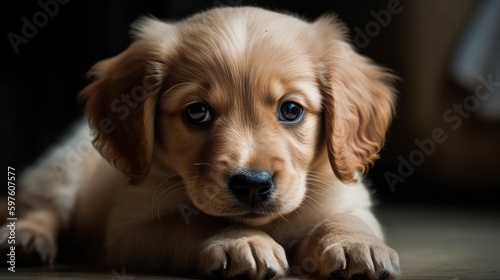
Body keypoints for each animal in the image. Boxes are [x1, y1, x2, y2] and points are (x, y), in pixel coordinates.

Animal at [0, 6, 398, 280]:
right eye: (197, 112)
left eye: (291, 110)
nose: (252, 185)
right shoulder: (130, 231)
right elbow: (195, 221)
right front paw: (239, 241)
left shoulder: (345, 194)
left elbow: (348, 218)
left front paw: (355, 244)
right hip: (65, 163)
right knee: (44, 206)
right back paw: (29, 238)